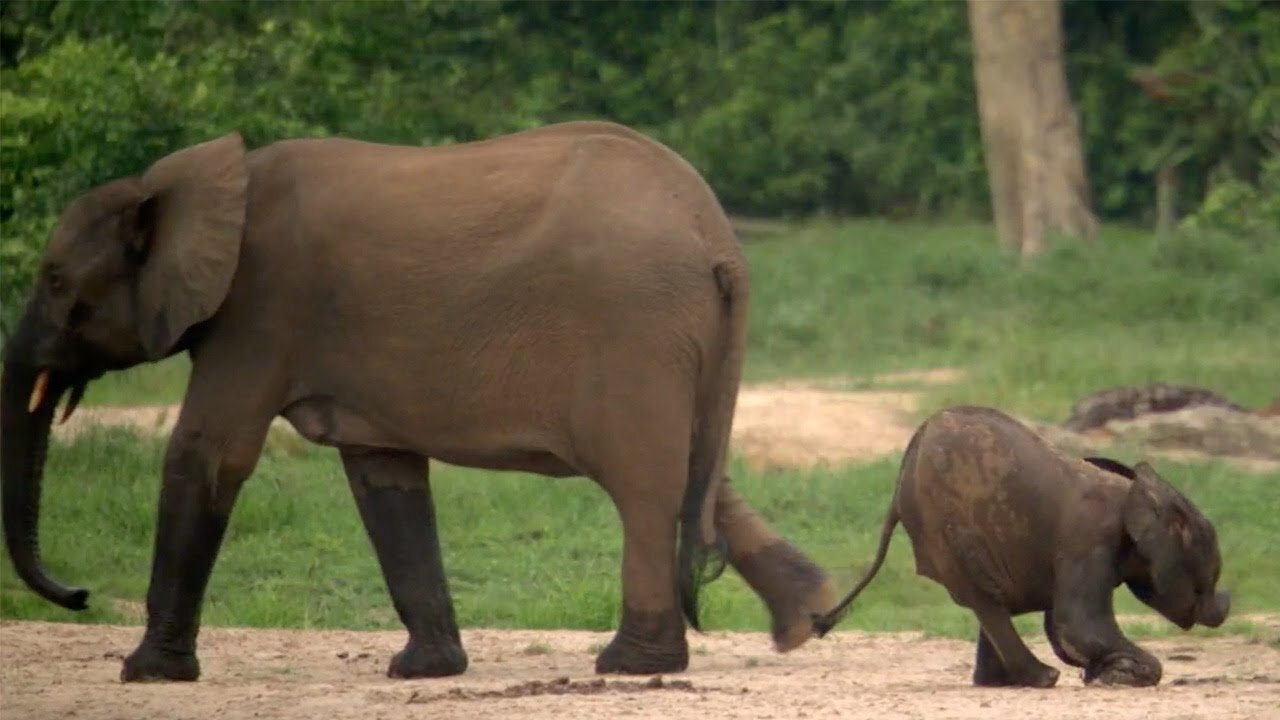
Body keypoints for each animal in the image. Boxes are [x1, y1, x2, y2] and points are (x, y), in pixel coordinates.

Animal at [0, 124, 834, 681]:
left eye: (54, 281)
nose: (77, 594)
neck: (187, 182)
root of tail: (718, 237)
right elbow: (384, 476)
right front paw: (426, 671)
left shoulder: (260, 312)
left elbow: (209, 453)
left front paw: (144, 672)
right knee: (693, 474)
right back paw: (809, 618)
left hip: (635, 329)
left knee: (645, 486)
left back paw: (630, 664)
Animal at [819, 404, 1228, 681]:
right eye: (1205, 580)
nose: (1220, 609)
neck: (1137, 493)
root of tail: (898, 488)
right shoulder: (1091, 539)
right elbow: (1077, 623)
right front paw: (1121, 675)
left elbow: (1064, 625)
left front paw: (1103, 673)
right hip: (947, 531)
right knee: (988, 602)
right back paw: (1043, 679)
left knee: (989, 606)